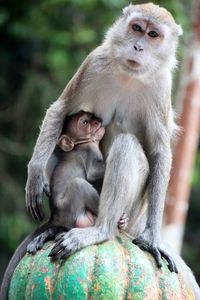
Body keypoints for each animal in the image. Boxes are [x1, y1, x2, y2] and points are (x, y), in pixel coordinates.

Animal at [27, 111, 128, 254]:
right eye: (84, 122)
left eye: (91, 116)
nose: (97, 120)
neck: (81, 143)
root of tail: (54, 217)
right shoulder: (89, 150)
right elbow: (93, 173)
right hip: (68, 208)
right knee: (78, 184)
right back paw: (117, 220)